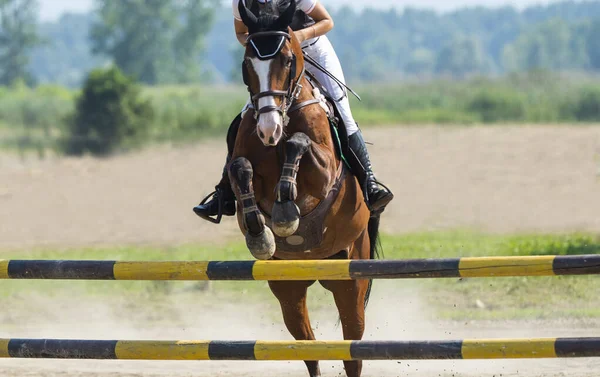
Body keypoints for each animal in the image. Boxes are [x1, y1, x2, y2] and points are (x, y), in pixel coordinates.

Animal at [227, 2, 382, 376]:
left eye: (286, 60)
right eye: (246, 64)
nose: (268, 129)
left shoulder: (325, 173)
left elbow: (299, 144)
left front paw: (285, 214)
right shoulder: (245, 165)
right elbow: (241, 169)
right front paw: (260, 232)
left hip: (351, 278)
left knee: (352, 347)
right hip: (288, 287)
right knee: (308, 346)